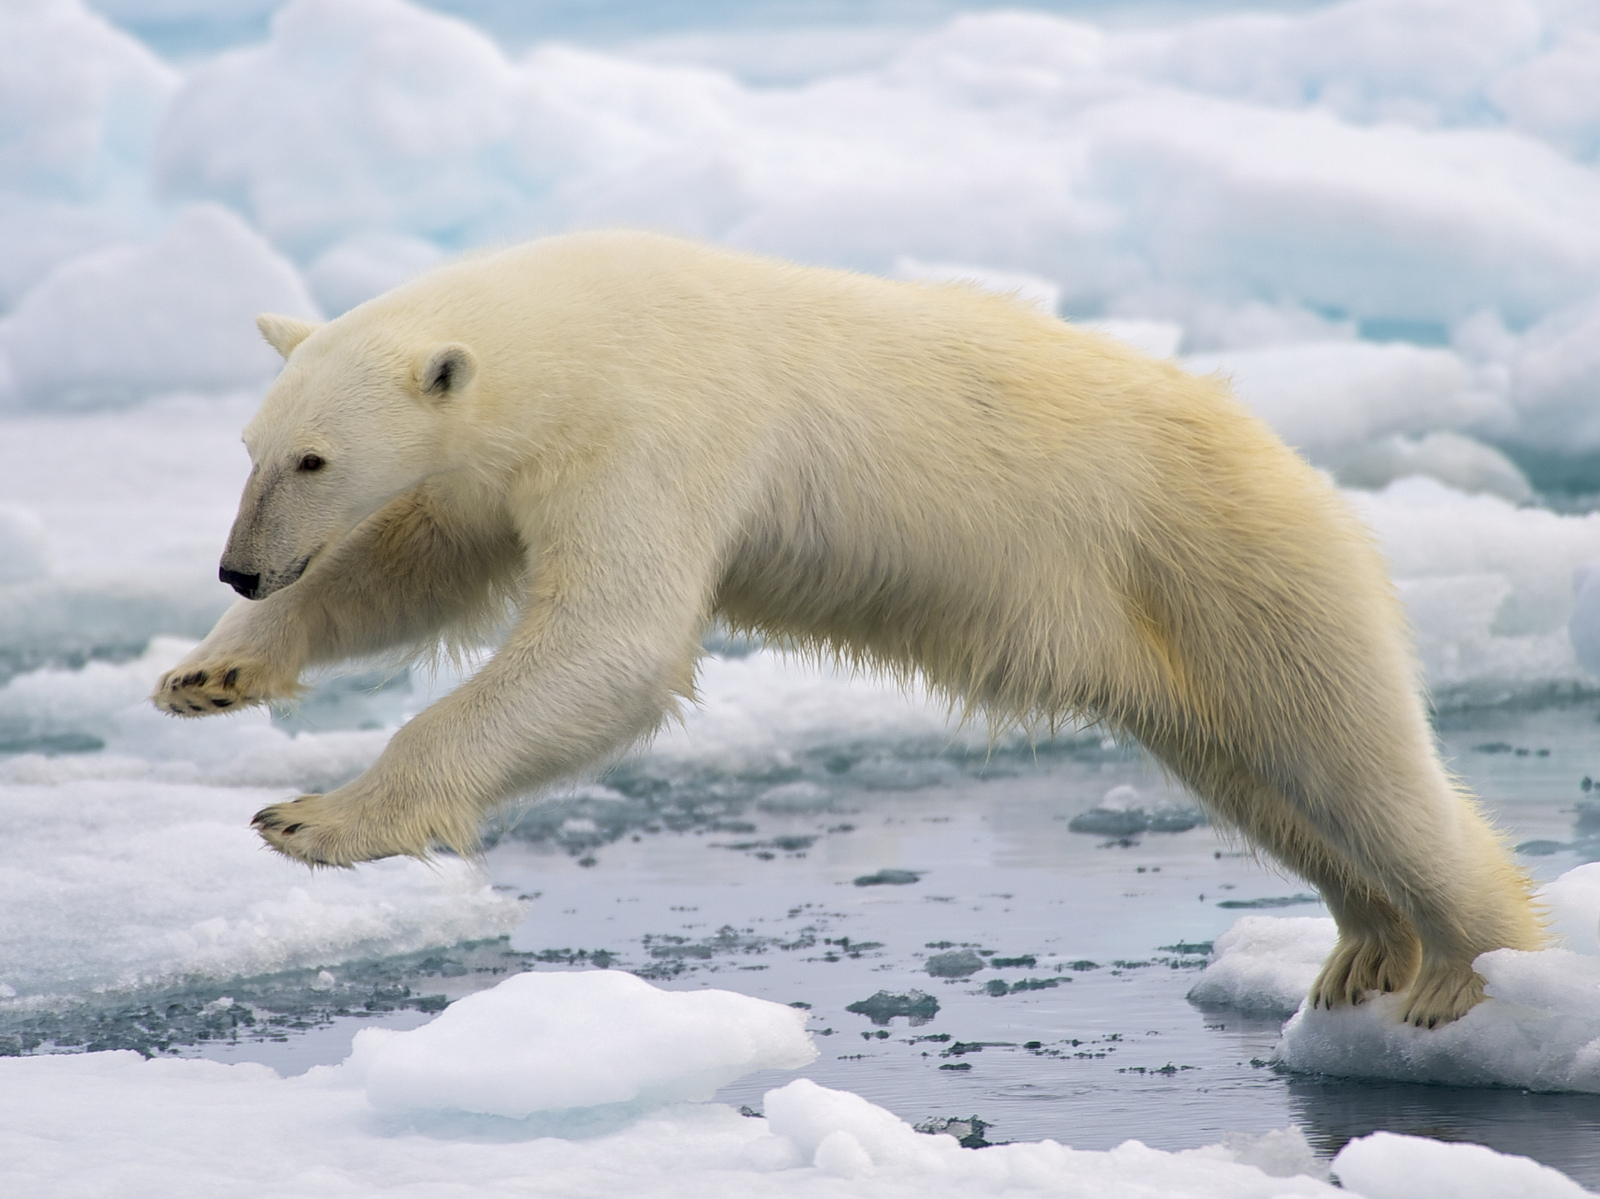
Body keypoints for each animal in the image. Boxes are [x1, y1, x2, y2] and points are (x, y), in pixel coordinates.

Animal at [152, 228, 1536, 1024]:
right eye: (252, 446)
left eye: (314, 457)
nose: (239, 567)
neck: (576, 331)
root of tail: (1296, 466)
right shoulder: (509, 465)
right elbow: (416, 564)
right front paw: (209, 674)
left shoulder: (660, 427)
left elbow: (611, 640)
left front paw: (313, 818)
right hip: (1174, 638)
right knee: (1261, 779)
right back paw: (1364, 946)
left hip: (1232, 565)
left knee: (1354, 759)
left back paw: (1465, 968)